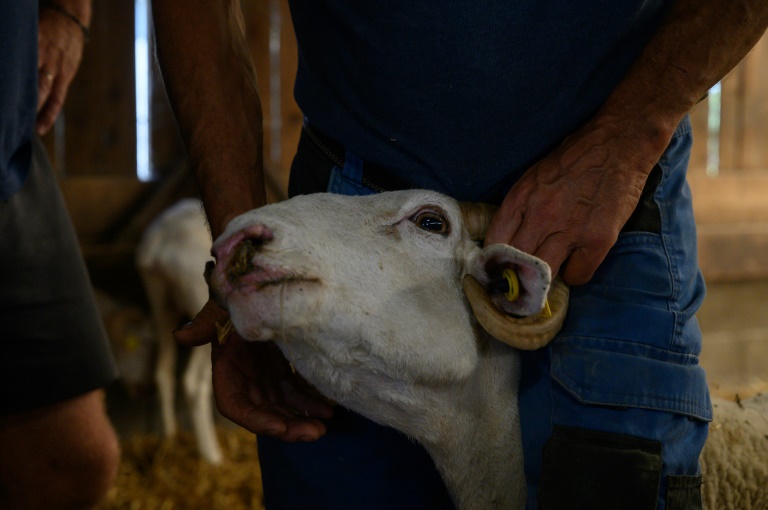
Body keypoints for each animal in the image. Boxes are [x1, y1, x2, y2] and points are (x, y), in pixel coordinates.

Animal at [136, 199, 222, 466]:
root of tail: (160, 241)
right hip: (201, 309)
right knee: (193, 383)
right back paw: (212, 456)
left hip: (161, 305)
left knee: (163, 371)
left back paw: (170, 437)